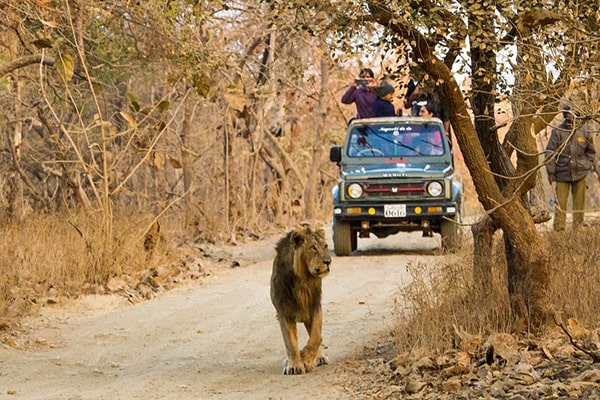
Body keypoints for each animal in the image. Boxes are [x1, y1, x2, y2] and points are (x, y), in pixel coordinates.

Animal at [272, 225, 332, 376]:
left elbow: (316, 337)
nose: (328, 261)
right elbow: (291, 343)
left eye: (326, 246)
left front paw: (306, 359)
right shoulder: (284, 312)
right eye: (313, 248)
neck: (304, 280)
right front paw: (294, 365)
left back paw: (319, 358)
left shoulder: (315, 306)